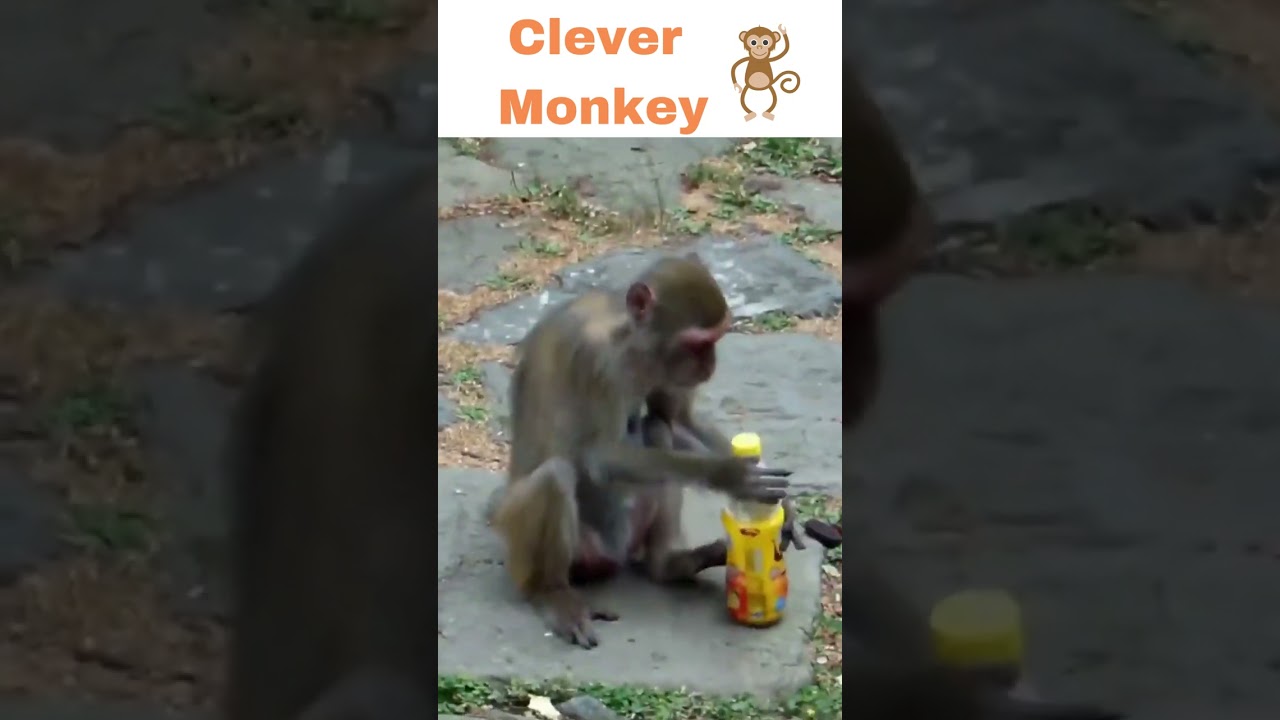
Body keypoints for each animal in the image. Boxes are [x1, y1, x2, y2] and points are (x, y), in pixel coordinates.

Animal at [490, 253, 796, 649]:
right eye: (697, 343)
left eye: (718, 337)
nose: (710, 366)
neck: (628, 339)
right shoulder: (594, 359)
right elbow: (602, 457)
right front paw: (733, 475)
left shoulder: (661, 368)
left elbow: (678, 420)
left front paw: (784, 505)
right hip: (556, 549)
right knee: (555, 477)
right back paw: (551, 591)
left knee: (657, 427)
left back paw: (668, 565)